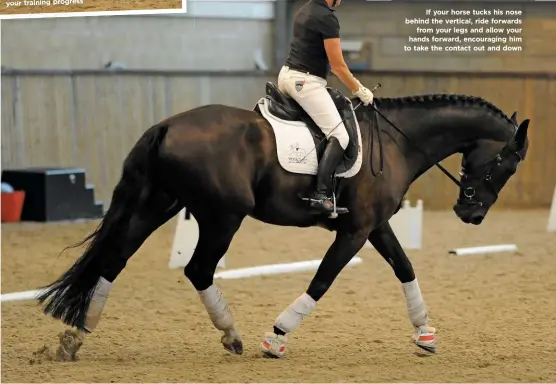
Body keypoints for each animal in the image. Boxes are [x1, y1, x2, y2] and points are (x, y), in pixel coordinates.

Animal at [35, 82, 528, 358]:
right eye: (507, 165)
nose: (471, 214)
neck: (397, 142)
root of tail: (168, 125)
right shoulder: (354, 231)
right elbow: (322, 280)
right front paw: (276, 338)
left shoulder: (375, 226)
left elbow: (405, 268)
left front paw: (425, 334)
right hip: (222, 215)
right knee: (198, 269)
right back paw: (232, 336)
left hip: (158, 204)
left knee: (113, 260)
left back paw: (77, 336)